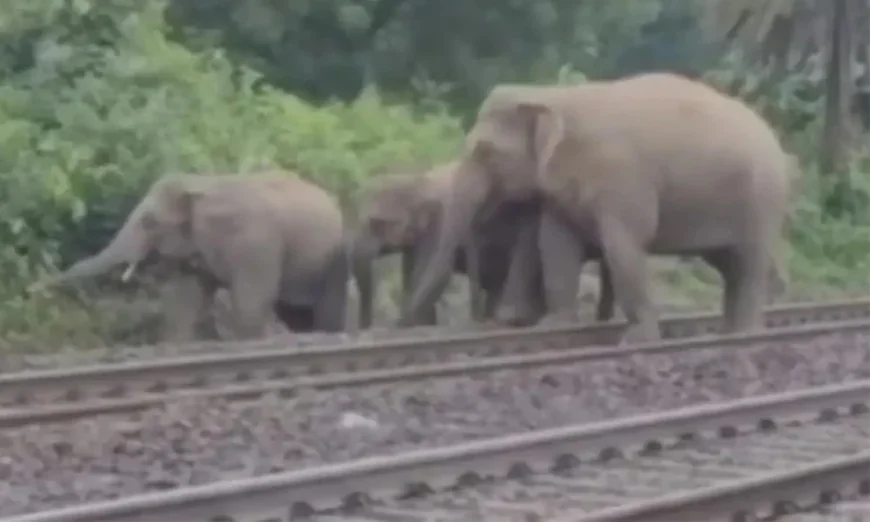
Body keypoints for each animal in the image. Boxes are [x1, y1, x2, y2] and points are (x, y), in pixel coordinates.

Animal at [30, 172, 350, 341]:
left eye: (149, 222)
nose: (33, 291)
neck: (202, 182)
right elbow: (186, 298)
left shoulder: (255, 243)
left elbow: (252, 298)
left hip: (334, 258)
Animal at [352, 162, 617, 329]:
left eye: (378, 223)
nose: (368, 328)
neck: (419, 179)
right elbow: (413, 275)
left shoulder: (439, 225)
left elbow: (427, 273)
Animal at [400, 72, 793, 344]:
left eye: (485, 153)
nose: (405, 324)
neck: (552, 95)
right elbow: (555, 244)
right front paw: (553, 326)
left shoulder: (623, 179)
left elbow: (623, 245)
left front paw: (637, 340)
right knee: (729, 263)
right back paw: (729, 330)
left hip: (762, 198)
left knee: (749, 259)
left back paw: (744, 334)